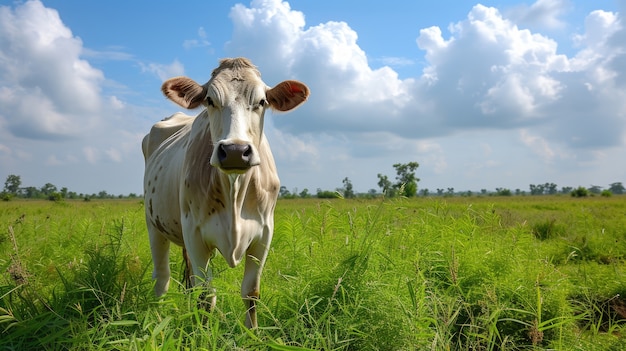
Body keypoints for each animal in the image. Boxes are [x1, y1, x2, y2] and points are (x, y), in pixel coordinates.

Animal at [141, 57, 308, 330]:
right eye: (210, 100)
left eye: (262, 102)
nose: (234, 151)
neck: (235, 193)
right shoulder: (195, 234)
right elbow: (207, 295)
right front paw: (203, 332)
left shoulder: (264, 234)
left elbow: (251, 293)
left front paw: (253, 333)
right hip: (154, 224)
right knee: (162, 278)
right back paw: (155, 317)